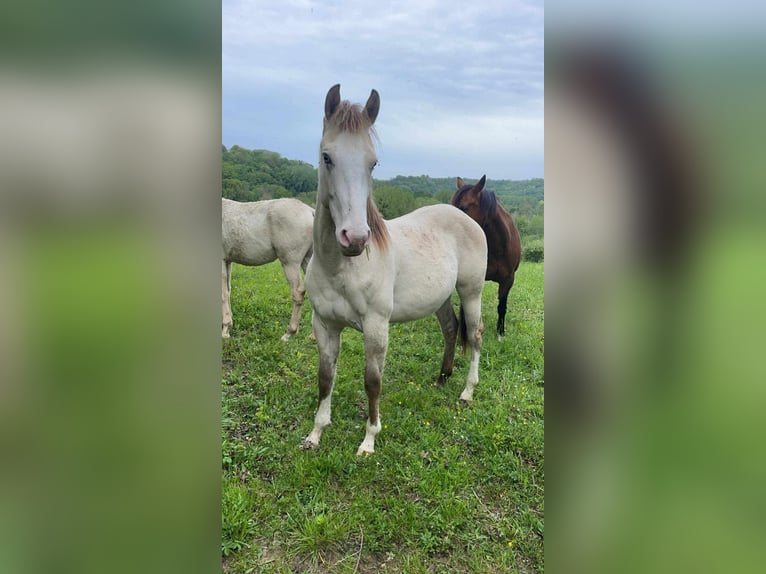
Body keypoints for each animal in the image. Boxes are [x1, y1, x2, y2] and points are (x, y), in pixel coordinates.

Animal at [222, 198, 316, 342]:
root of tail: (310, 211)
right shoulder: (227, 261)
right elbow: (228, 291)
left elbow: (222, 294)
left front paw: (225, 329)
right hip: (307, 260)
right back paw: (314, 335)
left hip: (290, 263)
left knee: (298, 292)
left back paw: (289, 333)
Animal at [304, 83, 488, 456]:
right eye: (327, 157)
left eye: (373, 162)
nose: (355, 237)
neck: (339, 267)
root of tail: (467, 220)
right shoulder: (324, 325)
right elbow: (325, 377)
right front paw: (315, 433)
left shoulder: (376, 327)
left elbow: (372, 381)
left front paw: (369, 440)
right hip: (440, 297)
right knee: (451, 328)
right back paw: (442, 377)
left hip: (471, 292)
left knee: (475, 334)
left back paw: (466, 391)